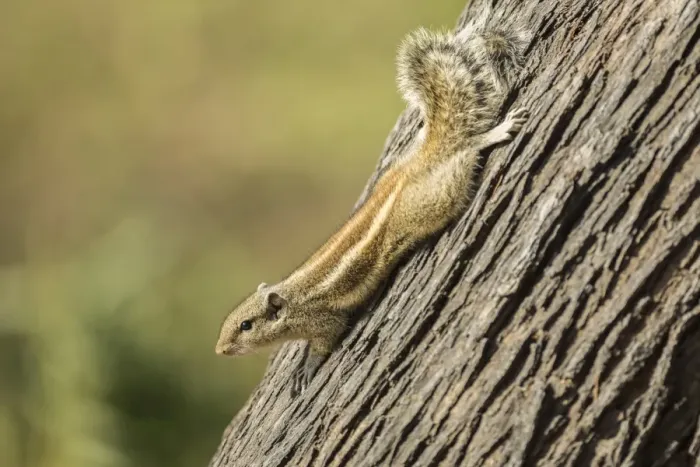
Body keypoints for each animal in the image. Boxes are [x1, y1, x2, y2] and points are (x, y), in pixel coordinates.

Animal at [216, 11, 531, 396]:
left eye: (246, 325)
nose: (219, 349)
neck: (293, 301)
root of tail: (421, 162)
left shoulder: (323, 319)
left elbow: (323, 343)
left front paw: (305, 369)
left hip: (432, 201)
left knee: (467, 152)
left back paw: (495, 132)